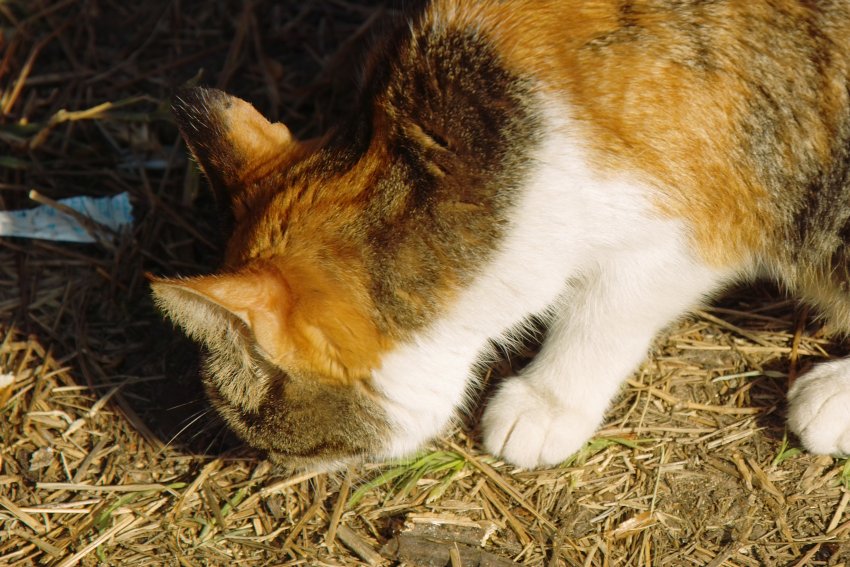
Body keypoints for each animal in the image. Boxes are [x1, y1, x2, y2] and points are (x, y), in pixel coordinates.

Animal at [152, 0, 848, 470]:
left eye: (252, 424)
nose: (270, 467)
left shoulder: (692, 223)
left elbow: (604, 312)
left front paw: (546, 403)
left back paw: (830, 401)